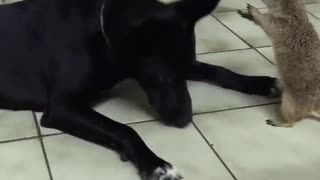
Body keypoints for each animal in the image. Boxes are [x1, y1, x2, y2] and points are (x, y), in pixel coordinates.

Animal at [0, 0, 278, 179]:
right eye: (163, 77)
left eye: (182, 69)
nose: (185, 120)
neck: (100, 32)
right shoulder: (62, 106)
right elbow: (124, 129)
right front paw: (156, 164)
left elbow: (219, 71)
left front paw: (261, 83)